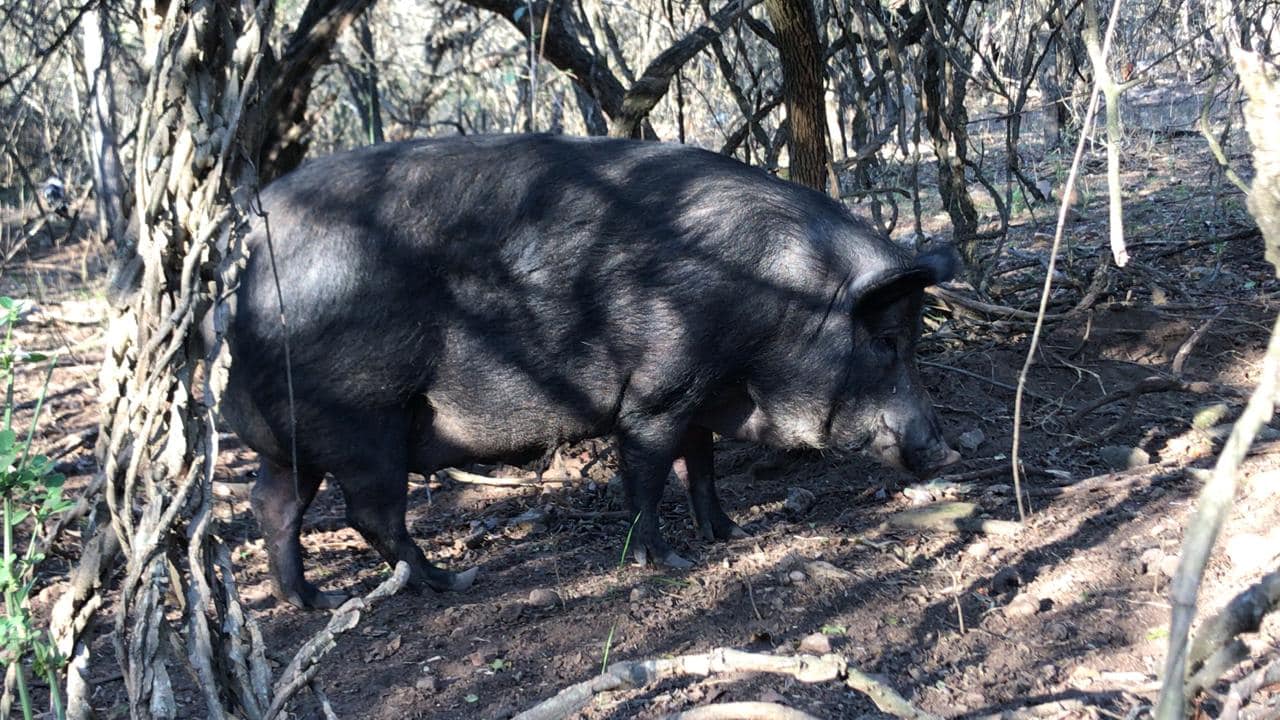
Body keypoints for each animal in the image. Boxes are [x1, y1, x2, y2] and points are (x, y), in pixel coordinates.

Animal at [217, 133, 962, 604]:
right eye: (886, 342)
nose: (946, 448)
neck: (774, 307)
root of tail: (253, 249)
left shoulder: (699, 394)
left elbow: (703, 466)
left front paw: (731, 533)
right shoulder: (657, 389)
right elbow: (648, 473)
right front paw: (668, 560)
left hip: (300, 440)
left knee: (272, 504)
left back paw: (310, 602)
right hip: (367, 420)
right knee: (369, 514)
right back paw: (449, 585)